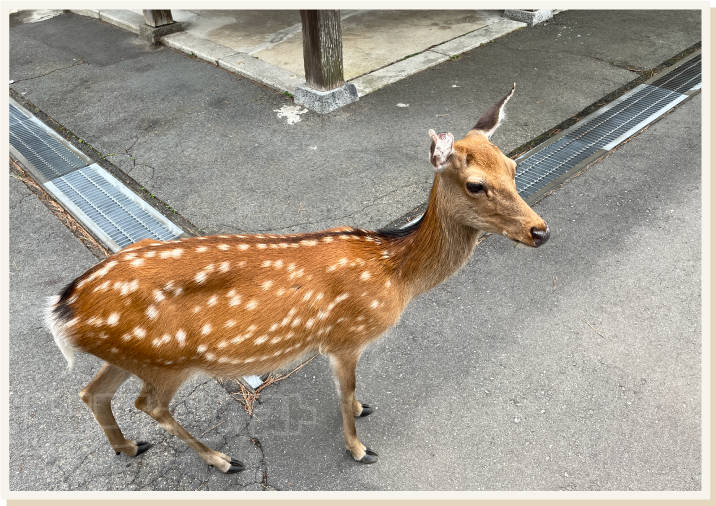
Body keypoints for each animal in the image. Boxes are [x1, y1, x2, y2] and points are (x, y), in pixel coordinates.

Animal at [44, 84, 548, 474]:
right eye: (476, 185)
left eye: (513, 168)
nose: (540, 231)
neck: (395, 273)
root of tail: (63, 310)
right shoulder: (345, 336)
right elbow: (344, 392)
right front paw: (359, 448)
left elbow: (349, 395)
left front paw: (363, 410)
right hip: (168, 362)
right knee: (147, 405)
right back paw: (222, 460)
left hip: (132, 354)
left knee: (91, 391)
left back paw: (127, 446)